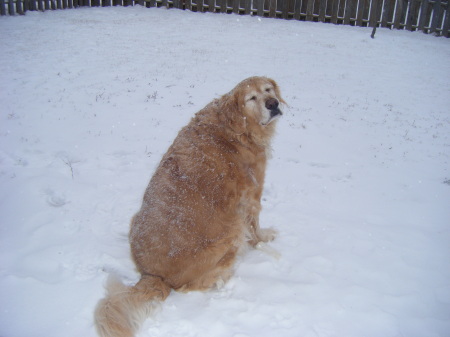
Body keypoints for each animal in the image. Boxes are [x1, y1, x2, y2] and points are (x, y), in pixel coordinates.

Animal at [94, 77, 284, 336]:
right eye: (251, 98)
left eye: (268, 89)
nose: (273, 104)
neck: (235, 125)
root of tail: (152, 275)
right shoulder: (252, 193)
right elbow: (255, 228)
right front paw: (264, 239)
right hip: (231, 231)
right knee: (190, 286)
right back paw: (222, 278)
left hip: (134, 220)